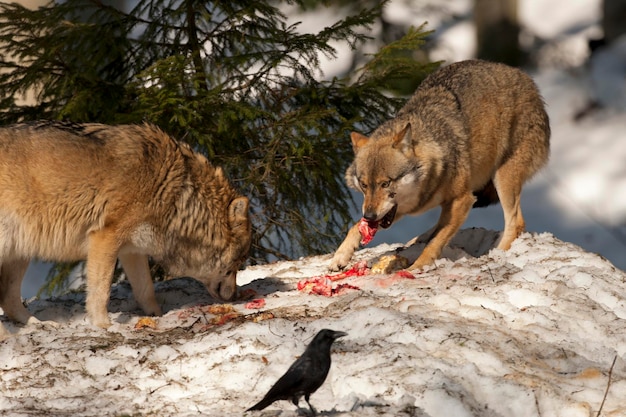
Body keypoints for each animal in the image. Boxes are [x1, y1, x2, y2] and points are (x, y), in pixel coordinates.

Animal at [330, 60, 548, 272]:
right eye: (364, 185)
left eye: (386, 183)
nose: (369, 215)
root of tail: (527, 79)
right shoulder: (402, 208)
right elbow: (355, 227)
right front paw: (340, 256)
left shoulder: (463, 199)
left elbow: (435, 243)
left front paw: (418, 266)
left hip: (502, 178)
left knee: (516, 223)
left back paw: (497, 254)